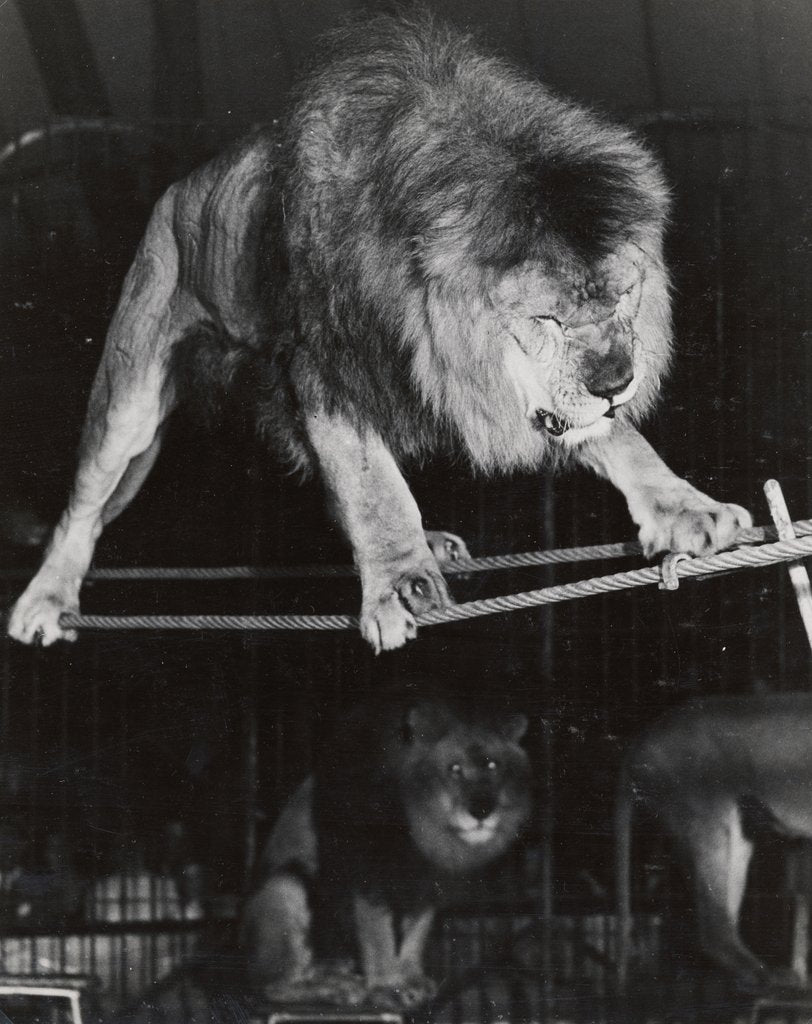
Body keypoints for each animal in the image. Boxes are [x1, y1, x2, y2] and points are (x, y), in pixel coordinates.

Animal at [7, 14, 751, 652]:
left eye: (624, 295)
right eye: (545, 318)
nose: (618, 382)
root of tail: (178, 187)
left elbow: (620, 441)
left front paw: (689, 509)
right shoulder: (326, 370)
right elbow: (373, 488)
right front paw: (398, 583)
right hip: (130, 388)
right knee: (82, 505)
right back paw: (45, 599)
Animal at [239, 691, 532, 1008]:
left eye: (493, 766)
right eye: (454, 769)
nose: (481, 810)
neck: (427, 828)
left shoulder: (427, 884)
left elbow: (416, 933)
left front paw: (411, 979)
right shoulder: (368, 874)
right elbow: (378, 935)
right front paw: (387, 987)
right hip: (284, 887)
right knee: (269, 985)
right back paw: (335, 987)